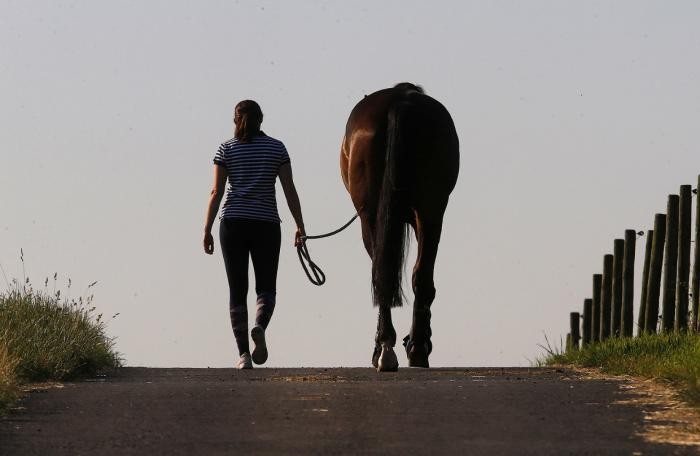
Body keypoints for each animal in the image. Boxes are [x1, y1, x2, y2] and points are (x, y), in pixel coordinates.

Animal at [340, 83, 460, 372]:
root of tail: (401, 101)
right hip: (431, 209)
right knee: (420, 276)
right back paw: (415, 348)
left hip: (372, 217)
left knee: (381, 275)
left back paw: (387, 348)